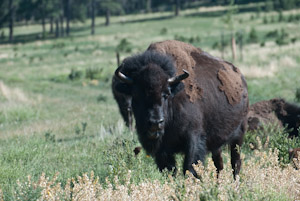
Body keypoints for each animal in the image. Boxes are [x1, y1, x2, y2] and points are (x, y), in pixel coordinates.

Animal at [112, 40, 248, 178]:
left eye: (166, 94)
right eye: (136, 95)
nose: (155, 123)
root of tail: (241, 78)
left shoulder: (194, 138)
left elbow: (190, 167)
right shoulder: (163, 150)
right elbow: (169, 169)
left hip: (238, 136)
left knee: (235, 162)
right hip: (217, 142)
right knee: (219, 164)